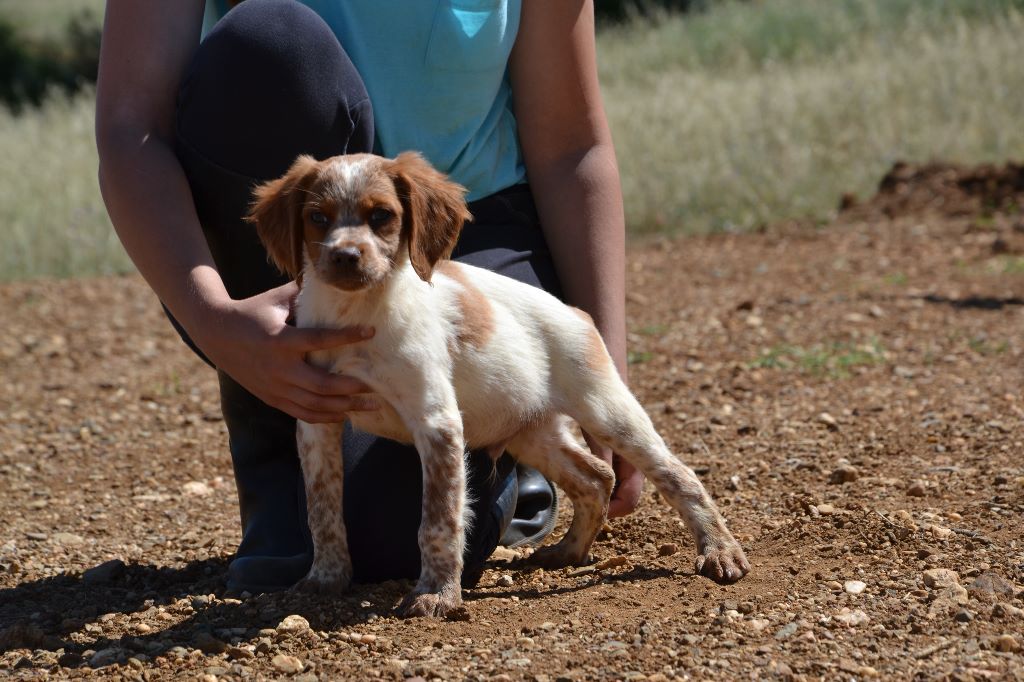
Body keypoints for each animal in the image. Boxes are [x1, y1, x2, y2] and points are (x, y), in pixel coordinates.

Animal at [243, 151, 749, 614]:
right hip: (530, 431)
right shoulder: (316, 421)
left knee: (677, 474)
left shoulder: (437, 422)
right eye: (317, 218)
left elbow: (438, 521)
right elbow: (323, 510)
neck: (357, 315)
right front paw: (324, 579)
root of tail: (576, 313)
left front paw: (436, 594)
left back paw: (719, 551)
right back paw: (568, 551)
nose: (345, 257)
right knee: (595, 477)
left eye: (381, 215)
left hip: (607, 412)